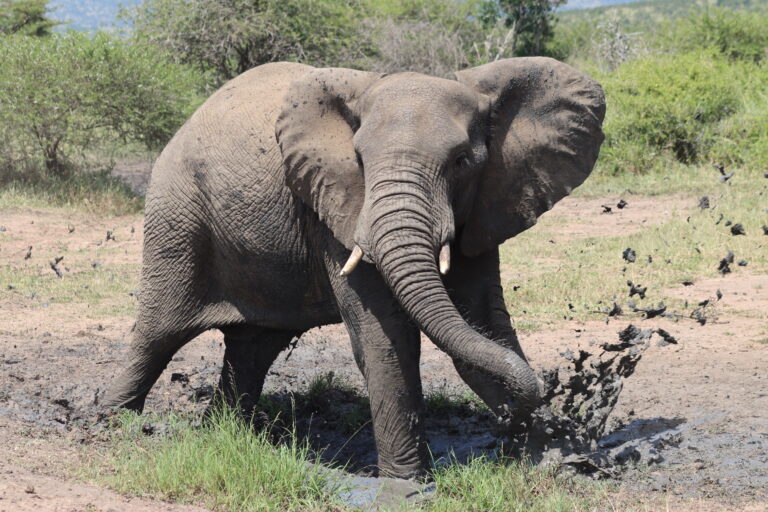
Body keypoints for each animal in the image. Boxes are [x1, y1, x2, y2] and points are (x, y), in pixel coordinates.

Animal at [104, 57, 605, 479]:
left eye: (462, 162)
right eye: (360, 161)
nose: (513, 419)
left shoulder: (487, 200)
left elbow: (483, 322)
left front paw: (555, 461)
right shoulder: (335, 205)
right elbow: (385, 336)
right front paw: (407, 487)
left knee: (252, 346)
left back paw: (222, 432)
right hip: (177, 217)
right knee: (158, 334)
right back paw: (107, 425)